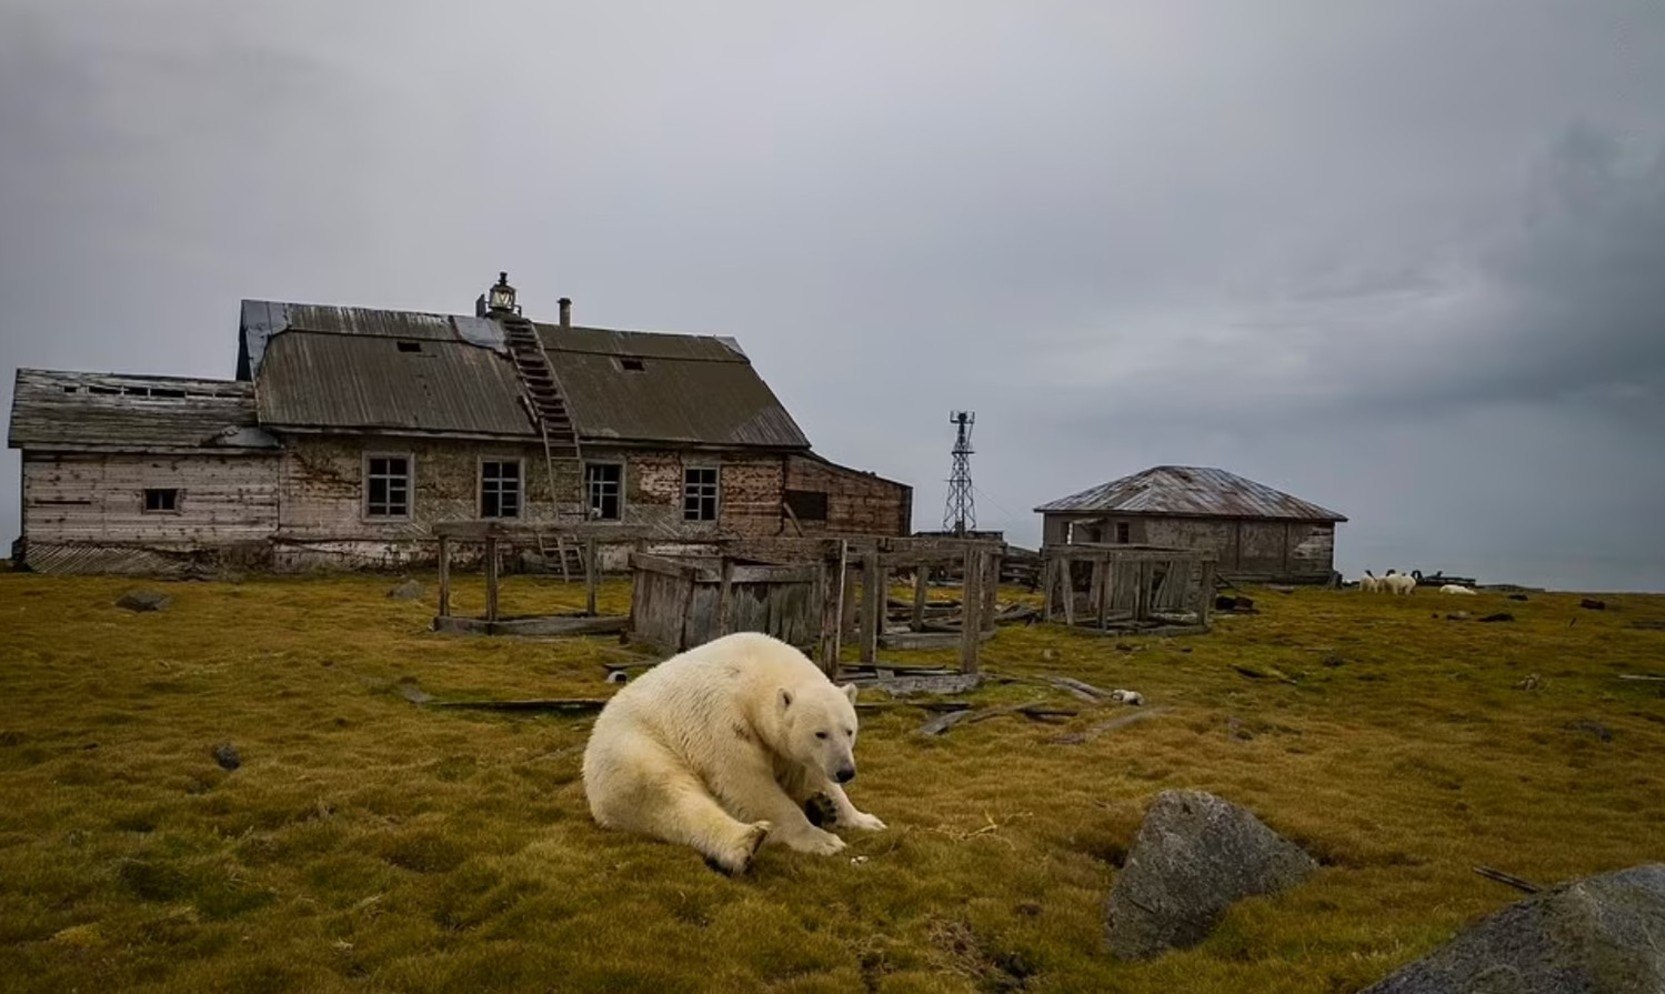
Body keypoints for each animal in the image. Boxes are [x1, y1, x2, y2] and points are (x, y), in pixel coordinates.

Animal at [579, 632, 885, 872]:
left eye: (849, 730)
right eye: (820, 733)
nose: (846, 771)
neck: (753, 668)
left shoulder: (790, 751)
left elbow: (811, 773)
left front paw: (863, 819)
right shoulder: (722, 720)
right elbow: (746, 782)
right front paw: (823, 840)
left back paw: (822, 807)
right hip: (637, 751)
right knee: (672, 797)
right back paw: (746, 841)